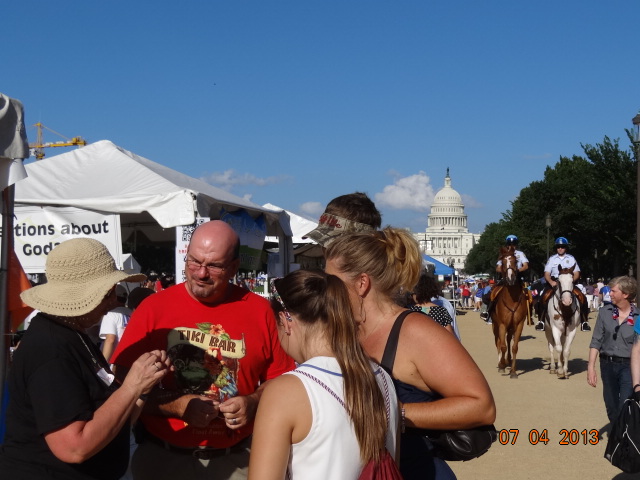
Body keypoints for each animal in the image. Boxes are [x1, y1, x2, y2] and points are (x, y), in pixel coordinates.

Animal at [491, 246, 529, 379]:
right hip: (495, 326)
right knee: (498, 342)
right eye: (502, 262)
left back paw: (508, 360)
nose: (511, 279)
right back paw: (501, 363)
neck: (512, 299)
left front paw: (513, 371)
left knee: (507, 340)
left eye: (515, 261)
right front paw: (502, 366)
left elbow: (514, 347)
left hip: (510, 327)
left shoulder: (519, 325)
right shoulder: (502, 324)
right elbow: (502, 346)